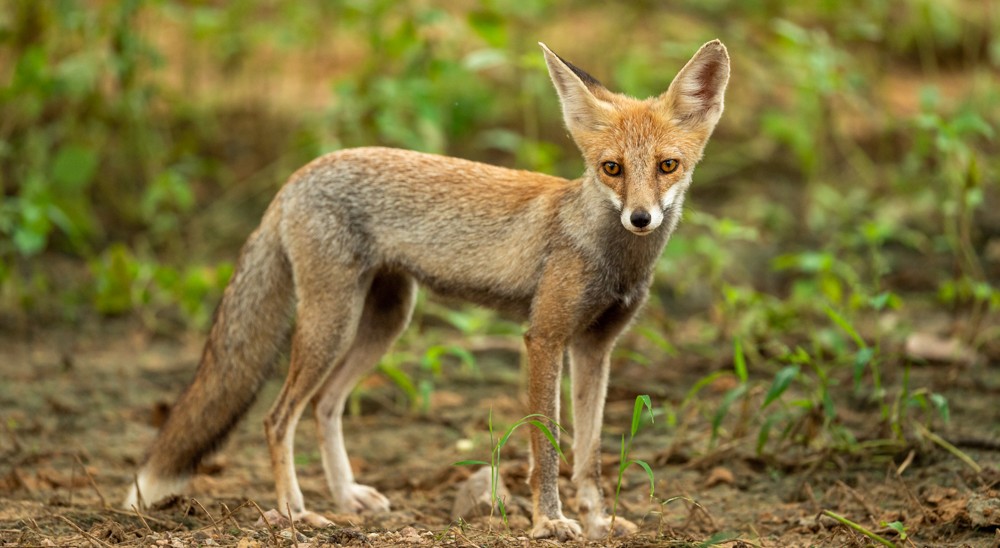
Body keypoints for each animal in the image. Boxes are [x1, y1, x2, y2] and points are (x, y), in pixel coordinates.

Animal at [125, 41, 732, 540]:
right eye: (611, 168)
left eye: (667, 165)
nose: (641, 218)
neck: (611, 257)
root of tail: (299, 174)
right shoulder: (545, 338)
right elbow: (547, 445)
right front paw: (549, 521)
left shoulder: (595, 348)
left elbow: (590, 455)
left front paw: (598, 520)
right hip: (331, 323)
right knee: (279, 418)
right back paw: (296, 511)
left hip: (386, 320)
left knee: (325, 404)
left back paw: (346, 496)